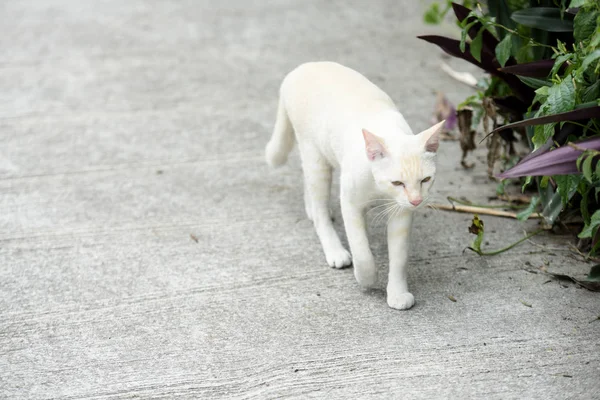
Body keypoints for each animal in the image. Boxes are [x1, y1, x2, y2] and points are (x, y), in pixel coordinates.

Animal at [264, 61, 442, 310]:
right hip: (316, 158)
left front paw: (397, 293)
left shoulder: (401, 213)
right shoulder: (350, 203)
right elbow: (362, 252)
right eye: (397, 182)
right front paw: (365, 277)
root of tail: (301, 68)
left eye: (425, 180)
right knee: (319, 209)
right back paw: (333, 246)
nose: (416, 200)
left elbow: (399, 257)